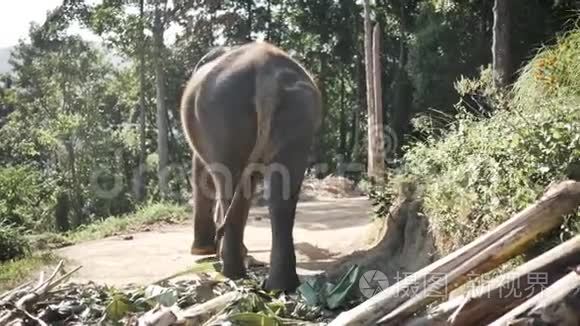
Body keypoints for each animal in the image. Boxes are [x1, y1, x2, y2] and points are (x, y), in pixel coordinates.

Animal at [179, 40, 322, 290]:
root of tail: (267, 72)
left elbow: (203, 175)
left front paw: (202, 251)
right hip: (298, 114)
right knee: (281, 194)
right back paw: (279, 285)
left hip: (222, 113)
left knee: (228, 183)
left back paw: (231, 272)